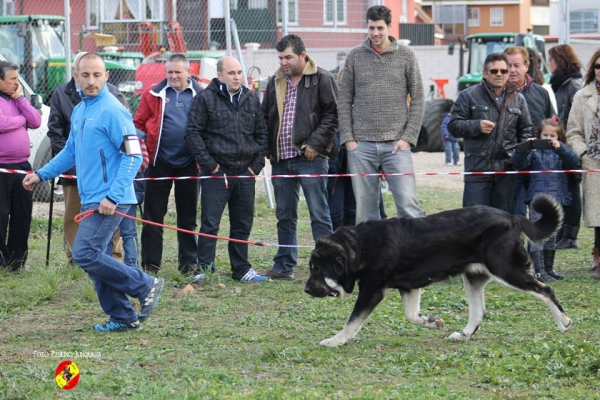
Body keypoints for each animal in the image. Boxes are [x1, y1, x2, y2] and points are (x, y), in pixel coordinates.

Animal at [304, 194, 572, 346]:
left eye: (317, 269)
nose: (306, 289)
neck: (359, 247)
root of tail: (513, 217)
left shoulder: (372, 291)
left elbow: (352, 322)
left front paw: (335, 340)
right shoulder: (409, 287)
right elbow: (412, 316)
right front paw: (432, 322)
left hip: (506, 269)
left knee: (545, 290)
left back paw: (564, 322)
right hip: (473, 276)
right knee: (478, 312)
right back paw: (463, 335)